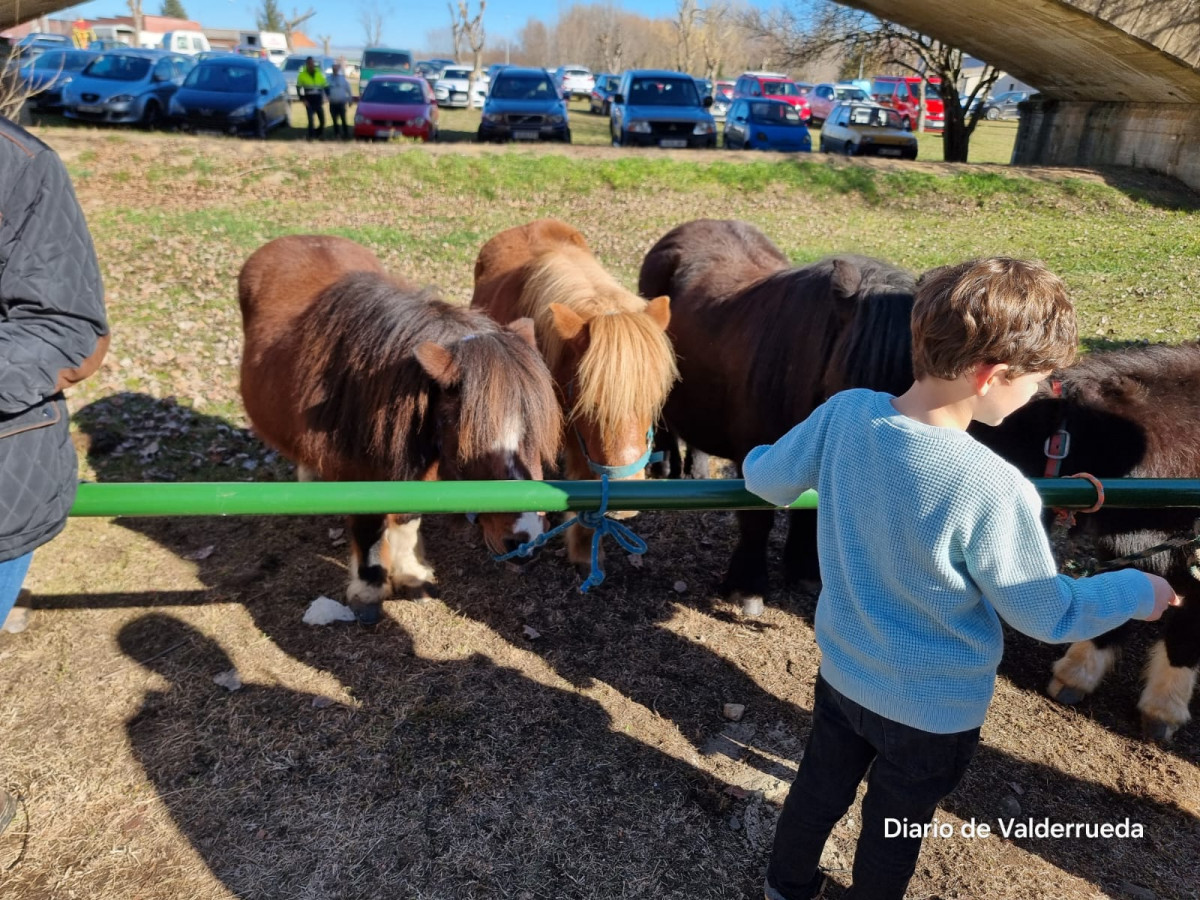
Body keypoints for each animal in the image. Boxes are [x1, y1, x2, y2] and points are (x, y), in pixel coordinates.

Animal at [243, 236, 566, 624]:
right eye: (471, 439)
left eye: (535, 432)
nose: (526, 539)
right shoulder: (359, 477)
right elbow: (368, 528)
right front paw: (369, 589)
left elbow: (408, 517)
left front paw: (411, 575)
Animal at [643, 218, 912, 614]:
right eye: (847, 382)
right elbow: (758, 518)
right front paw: (747, 587)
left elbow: (808, 511)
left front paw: (805, 572)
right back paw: (663, 468)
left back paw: (697, 471)